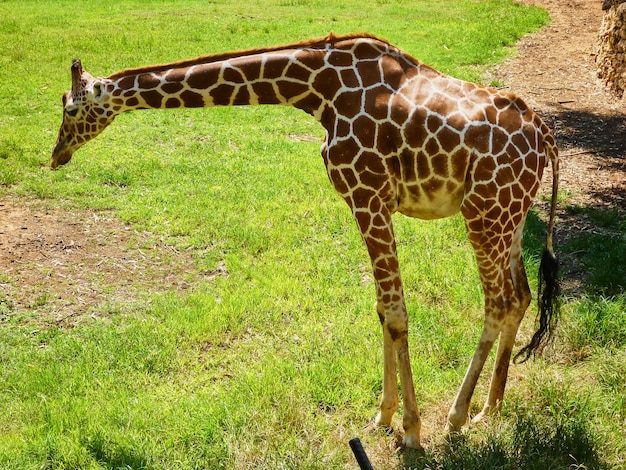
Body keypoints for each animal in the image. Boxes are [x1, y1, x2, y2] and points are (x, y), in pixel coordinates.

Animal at [51, 33, 560, 448]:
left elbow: (395, 314)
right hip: (512, 215)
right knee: (520, 295)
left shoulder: (368, 195)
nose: (56, 155)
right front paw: (382, 417)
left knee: (497, 300)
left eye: (71, 109)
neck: (319, 91)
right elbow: (381, 310)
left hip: (484, 213)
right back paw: (489, 409)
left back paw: (456, 418)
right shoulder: (367, 201)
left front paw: (412, 431)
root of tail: (545, 137)